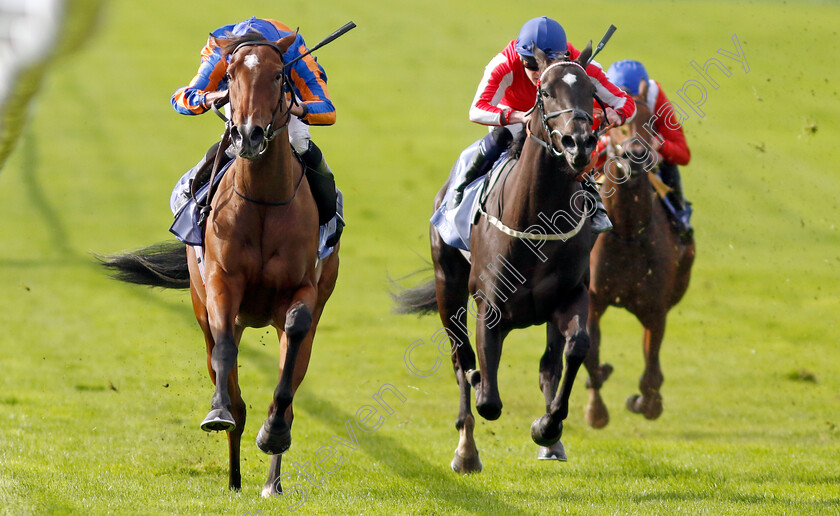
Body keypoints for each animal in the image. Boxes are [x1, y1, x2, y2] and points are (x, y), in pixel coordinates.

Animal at [103, 33, 340, 496]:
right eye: (228, 76)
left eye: (279, 75)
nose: (248, 134)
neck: (264, 199)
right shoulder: (220, 283)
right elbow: (226, 352)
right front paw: (218, 413)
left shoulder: (302, 289)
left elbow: (294, 341)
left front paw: (274, 434)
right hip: (204, 310)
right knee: (228, 377)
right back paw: (233, 477)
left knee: (290, 375)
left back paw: (270, 480)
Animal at [396, 44, 600, 472]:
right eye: (545, 92)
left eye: (590, 91)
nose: (579, 143)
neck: (537, 221)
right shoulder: (488, 309)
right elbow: (486, 396)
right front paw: (471, 437)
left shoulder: (571, 296)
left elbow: (575, 350)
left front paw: (547, 427)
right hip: (448, 289)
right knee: (461, 360)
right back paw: (465, 450)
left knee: (549, 364)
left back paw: (550, 442)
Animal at [584, 80, 696, 428]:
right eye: (618, 126)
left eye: (652, 121)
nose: (636, 155)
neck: (629, 233)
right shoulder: (593, 300)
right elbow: (591, 356)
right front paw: (596, 410)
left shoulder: (655, 308)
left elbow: (651, 373)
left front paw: (646, 403)